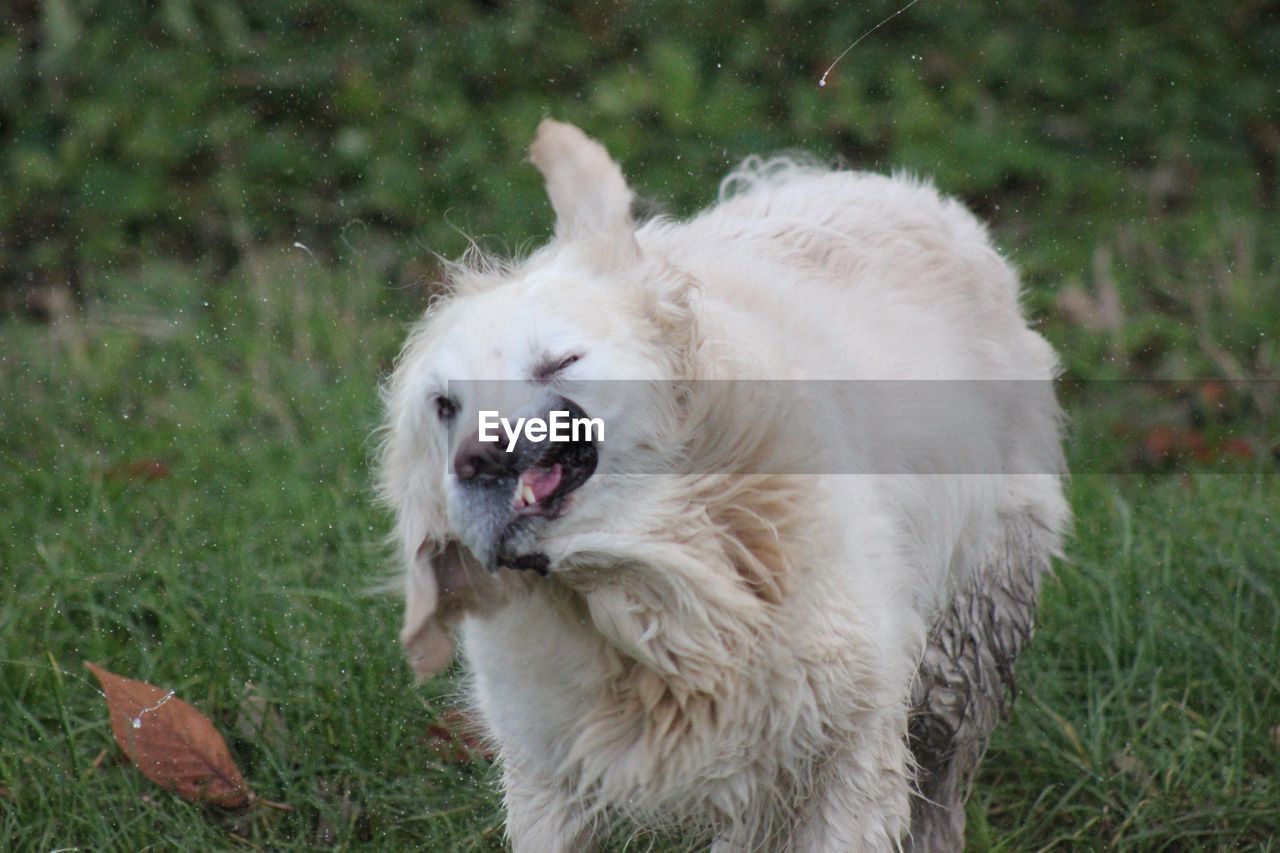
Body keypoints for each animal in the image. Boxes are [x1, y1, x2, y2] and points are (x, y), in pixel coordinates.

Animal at [378, 121, 1070, 850]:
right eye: (444, 405)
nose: (477, 462)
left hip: (967, 639)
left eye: (560, 361)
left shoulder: (848, 753)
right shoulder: (547, 768)